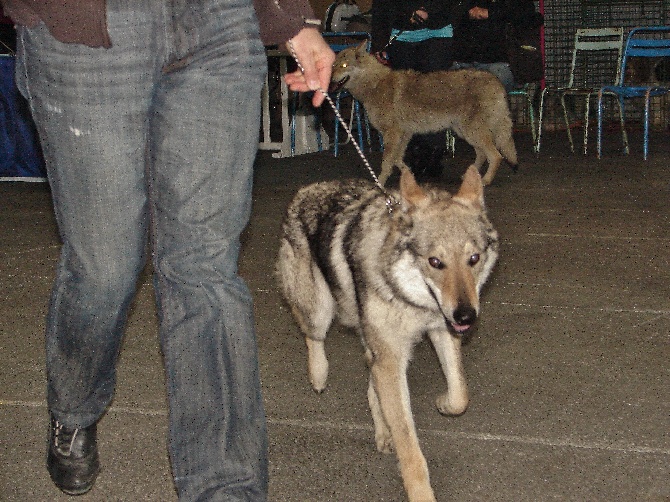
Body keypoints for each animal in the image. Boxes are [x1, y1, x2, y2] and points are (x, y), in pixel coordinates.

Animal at [277, 167, 499, 501]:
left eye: (473, 259)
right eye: (435, 262)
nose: (466, 316)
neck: (407, 299)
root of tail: (309, 188)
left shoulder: (439, 331)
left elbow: (460, 393)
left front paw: (444, 404)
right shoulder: (392, 359)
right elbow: (411, 450)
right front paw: (421, 495)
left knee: (371, 377)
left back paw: (382, 431)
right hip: (320, 309)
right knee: (313, 336)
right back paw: (319, 374)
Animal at [330, 42, 518, 186]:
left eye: (344, 66)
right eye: (334, 66)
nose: (331, 80)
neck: (374, 84)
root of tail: (496, 81)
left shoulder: (393, 133)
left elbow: (387, 161)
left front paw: (380, 183)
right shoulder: (404, 134)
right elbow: (397, 159)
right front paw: (408, 174)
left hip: (473, 132)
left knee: (496, 156)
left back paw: (486, 180)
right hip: (466, 133)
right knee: (482, 154)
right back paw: (470, 176)